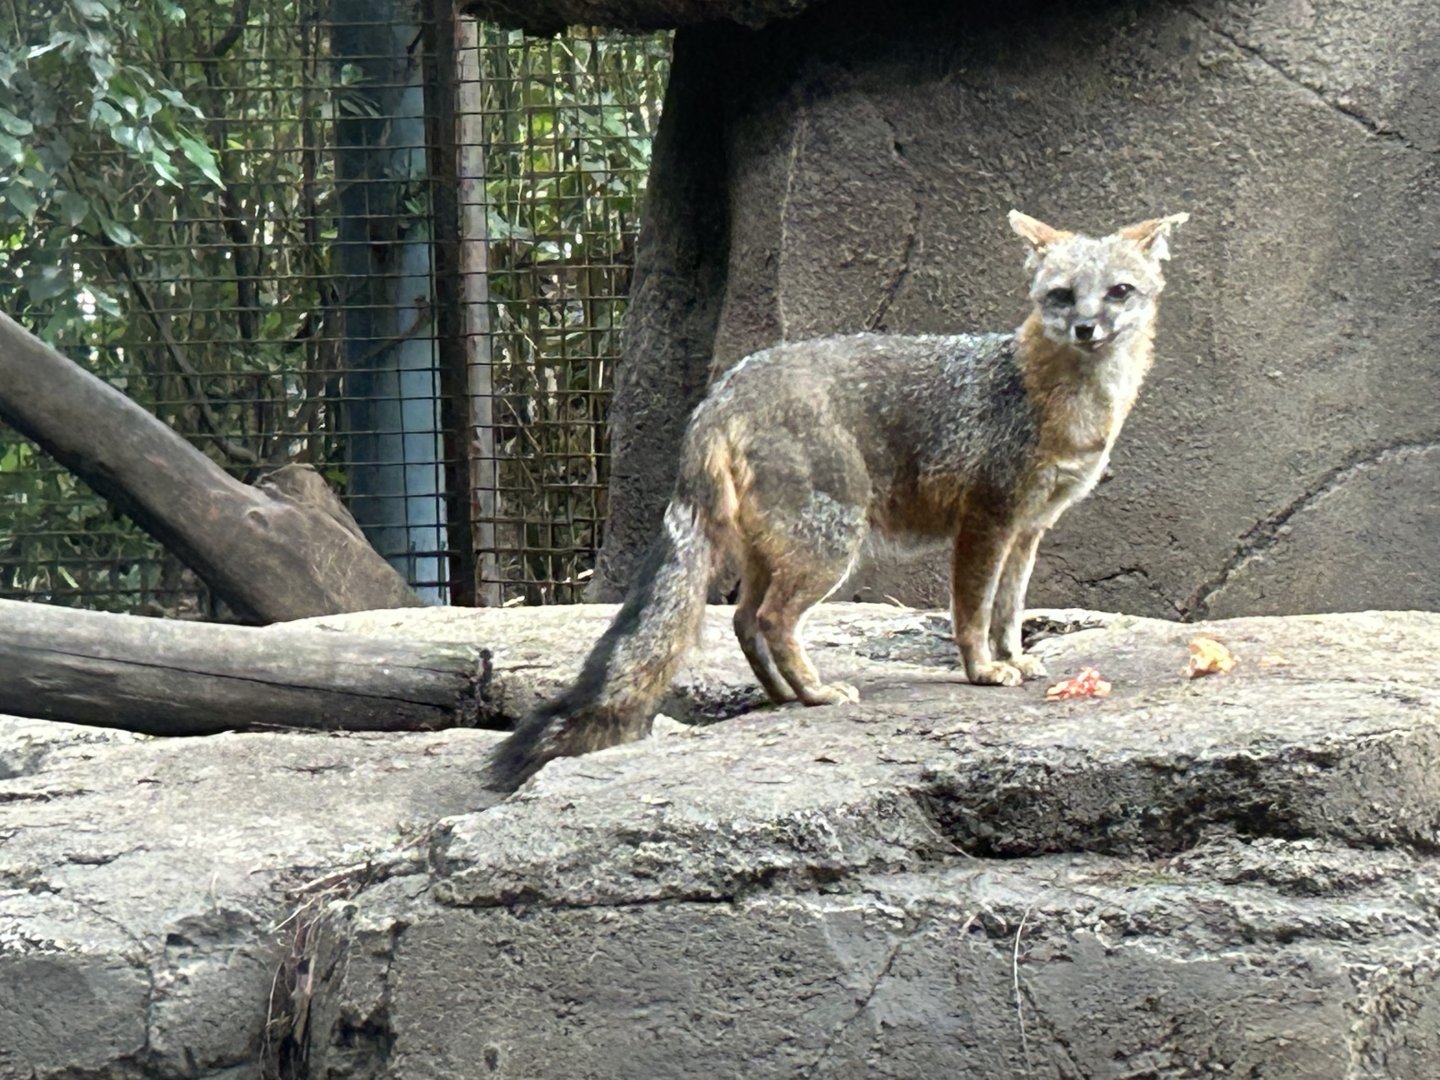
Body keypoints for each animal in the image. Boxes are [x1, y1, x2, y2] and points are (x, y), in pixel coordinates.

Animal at [488, 209, 1189, 791]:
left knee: (744, 620)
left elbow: (1010, 610)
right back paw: (817, 693)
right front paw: (983, 672)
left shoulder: (1029, 529)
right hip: (831, 546)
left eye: (1119, 291)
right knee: (772, 619)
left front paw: (1015, 658)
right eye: (1062, 295)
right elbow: (972, 612)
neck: (1055, 399)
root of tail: (721, 393)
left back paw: (783, 695)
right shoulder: (987, 520)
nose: (1088, 328)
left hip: (777, 549)